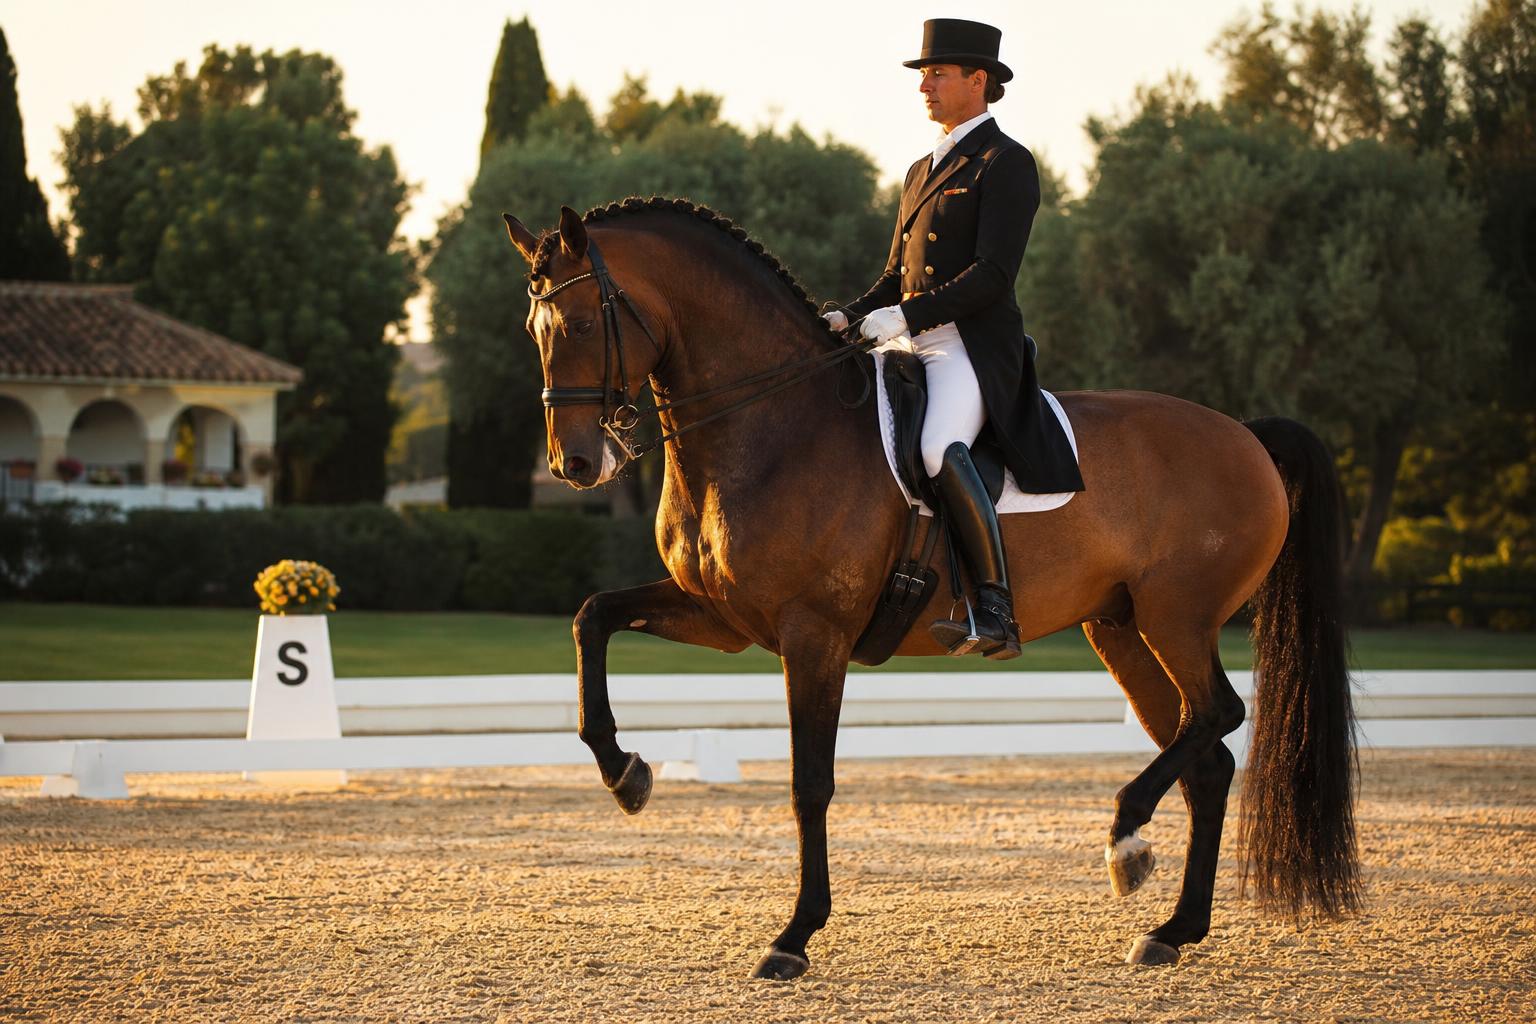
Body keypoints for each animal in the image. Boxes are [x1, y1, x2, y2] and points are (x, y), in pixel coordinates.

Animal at [501, 196, 1359, 980]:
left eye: (581, 326)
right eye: (535, 330)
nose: (576, 464)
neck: (773, 425)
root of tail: (1245, 434)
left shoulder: (814, 634)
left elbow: (811, 782)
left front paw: (794, 936)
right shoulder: (721, 617)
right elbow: (592, 618)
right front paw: (625, 773)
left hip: (1176, 617)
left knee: (1218, 713)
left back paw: (1125, 840)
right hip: (1120, 628)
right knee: (1205, 758)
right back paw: (1172, 928)